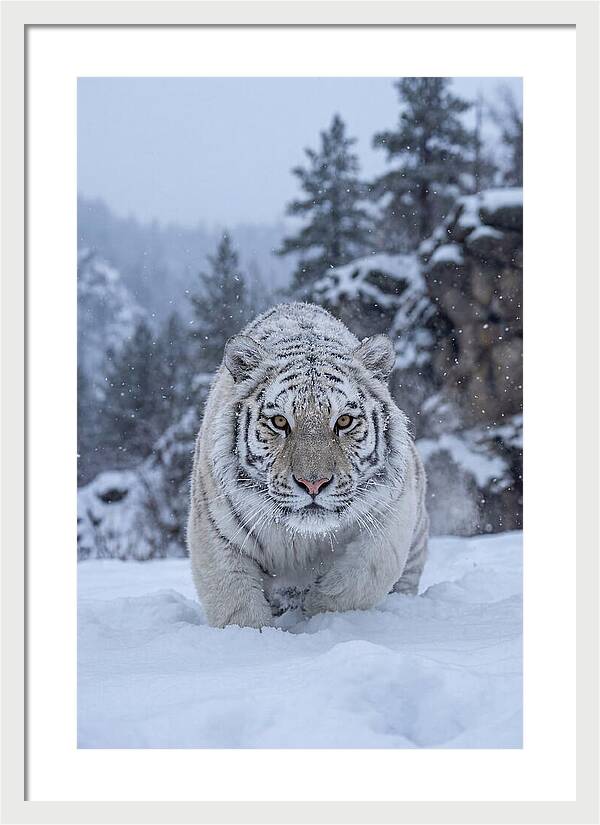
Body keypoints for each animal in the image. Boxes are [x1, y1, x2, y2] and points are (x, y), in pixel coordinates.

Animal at [188, 302, 428, 629]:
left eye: (344, 421)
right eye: (279, 422)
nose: (313, 483)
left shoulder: (391, 514)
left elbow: (360, 578)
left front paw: (319, 612)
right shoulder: (215, 532)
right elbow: (236, 604)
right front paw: (254, 635)